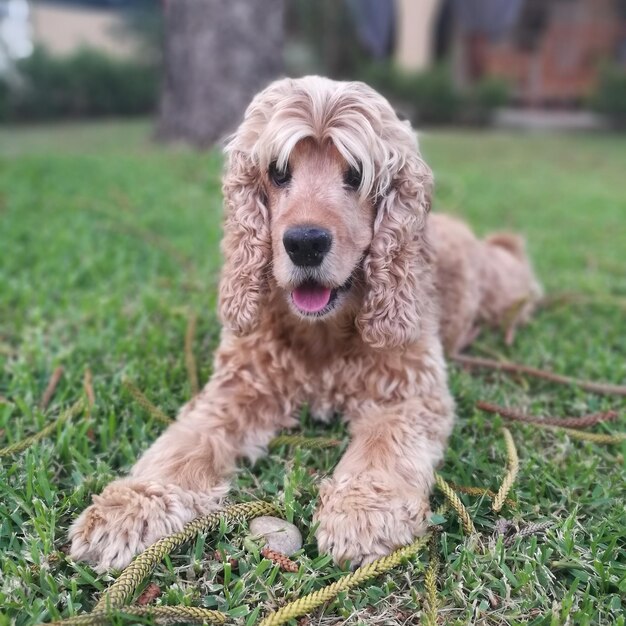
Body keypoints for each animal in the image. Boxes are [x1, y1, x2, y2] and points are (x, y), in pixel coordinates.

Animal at [67, 74, 536, 572]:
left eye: (356, 175)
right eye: (278, 172)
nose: (305, 243)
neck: (323, 333)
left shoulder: (410, 392)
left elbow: (384, 444)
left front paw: (364, 512)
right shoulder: (237, 386)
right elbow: (186, 442)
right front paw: (131, 506)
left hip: (503, 286)